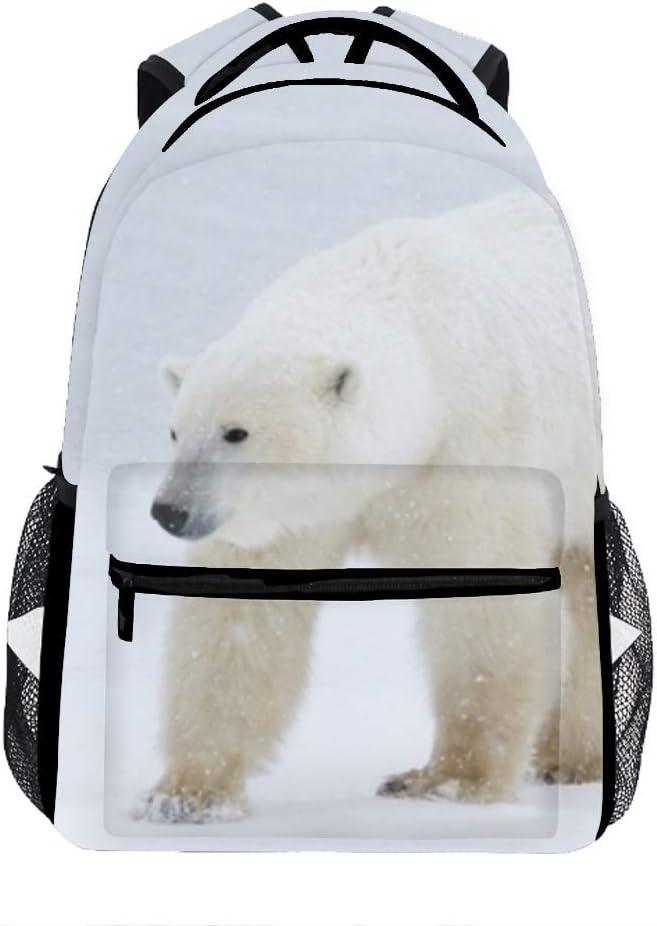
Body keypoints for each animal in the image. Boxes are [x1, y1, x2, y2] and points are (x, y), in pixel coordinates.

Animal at [141, 191, 602, 823]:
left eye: (237, 432)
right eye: (175, 431)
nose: (171, 511)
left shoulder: (478, 452)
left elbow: (483, 604)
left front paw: (447, 781)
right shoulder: (298, 513)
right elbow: (240, 619)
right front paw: (188, 794)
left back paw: (576, 758)